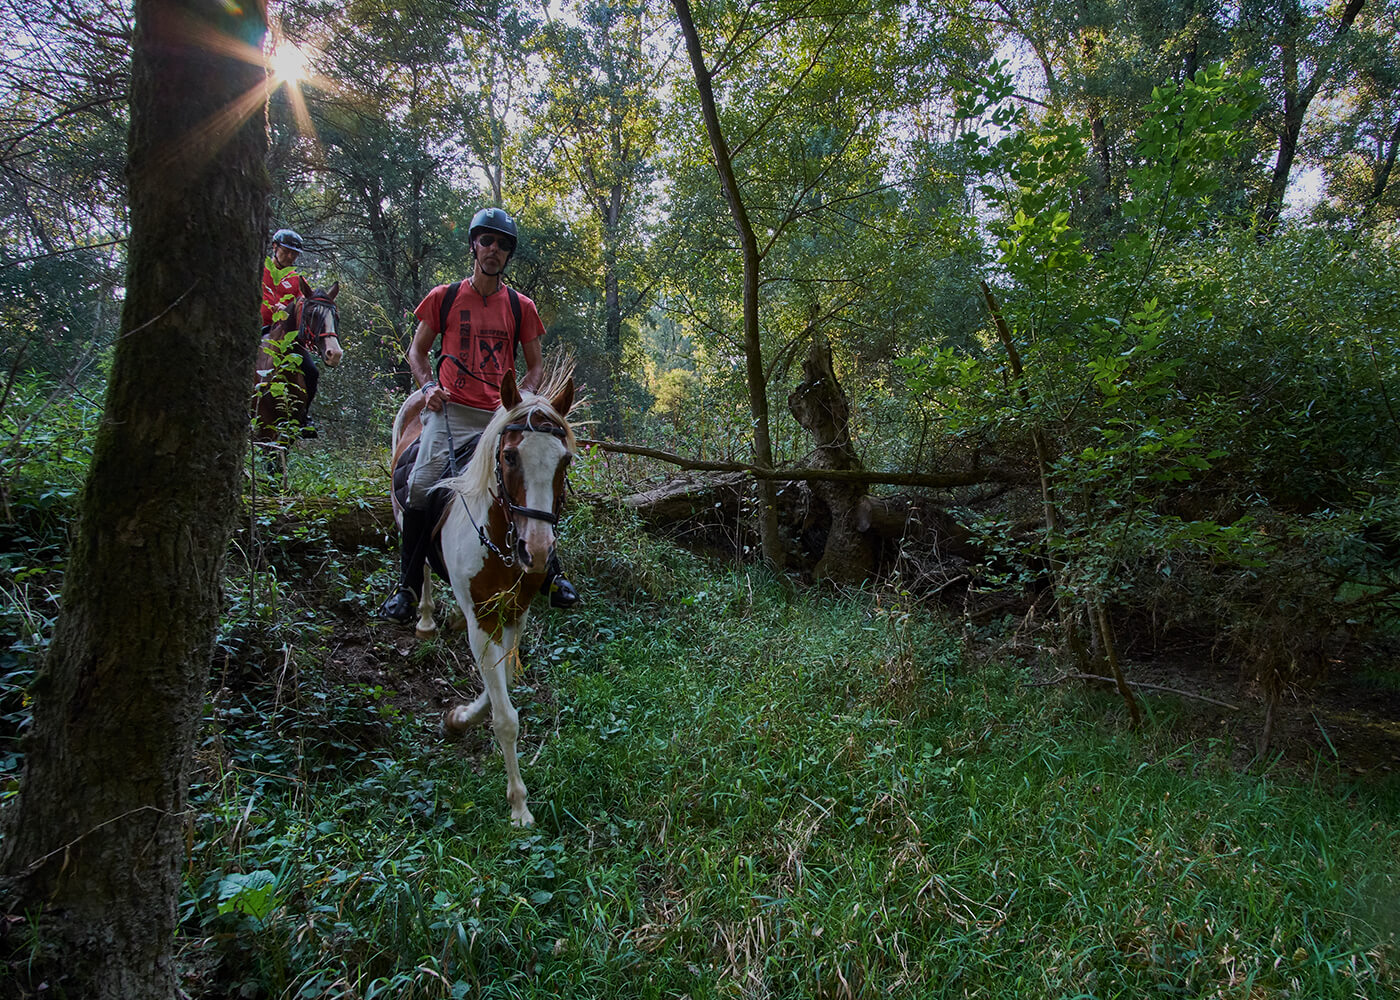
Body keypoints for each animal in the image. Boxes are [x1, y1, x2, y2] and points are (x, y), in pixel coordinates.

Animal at [389, 366, 574, 823]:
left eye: (565, 460)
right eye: (509, 457)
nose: (537, 551)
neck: (498, 537)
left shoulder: (514, 613)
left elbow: (499, 686)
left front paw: (459, 717)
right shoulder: (483, 618)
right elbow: (505, 716)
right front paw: (519, 806)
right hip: (407, 507)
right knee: (418, 560)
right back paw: (421, 616)